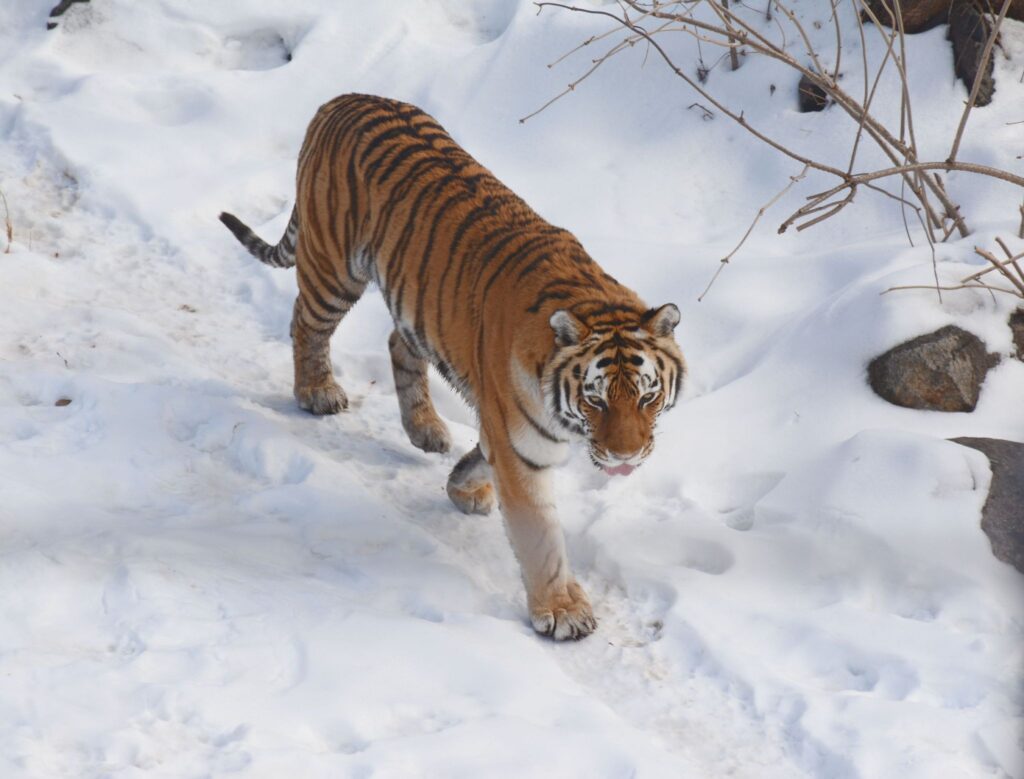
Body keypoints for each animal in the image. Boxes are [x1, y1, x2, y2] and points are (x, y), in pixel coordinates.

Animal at [220, 93, 685, 640]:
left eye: (647, 396)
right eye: (595, 400)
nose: (624, 457)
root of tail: (343, 99)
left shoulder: (505, 427)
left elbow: (481, 456)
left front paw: (464, 487)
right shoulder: (520, 443)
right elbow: (541, 537)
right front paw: (563, 610)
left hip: (412, 306)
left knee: (397, 343)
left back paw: (425, 428)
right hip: (334, 268)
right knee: (305, 323)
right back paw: (317, 391)